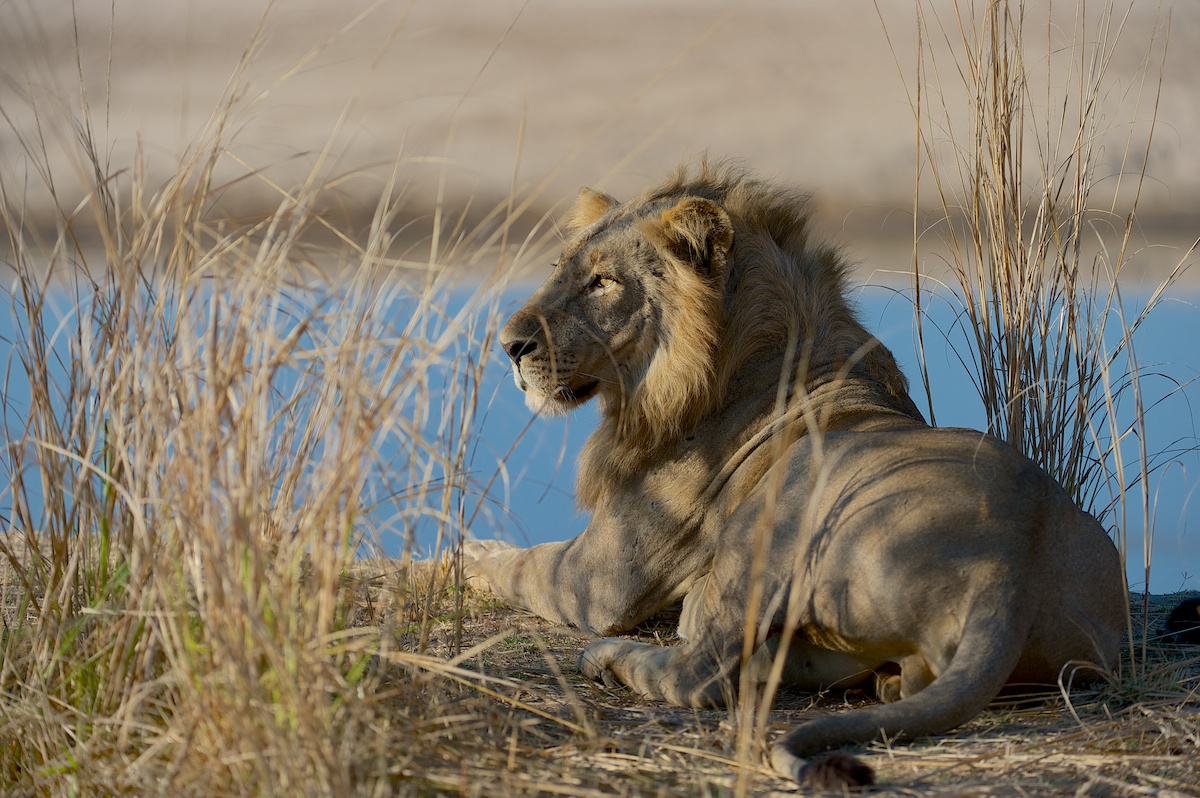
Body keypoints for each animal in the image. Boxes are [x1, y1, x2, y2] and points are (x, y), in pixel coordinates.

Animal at [463, 158, 1128, 787]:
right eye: (560, 269)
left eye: (603, 282)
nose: (509, 346)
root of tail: (1006, 567)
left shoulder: (602, 577)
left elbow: (525, 564)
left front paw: (462, 558)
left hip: (781, 503)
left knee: (701, 674)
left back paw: (611, 656)